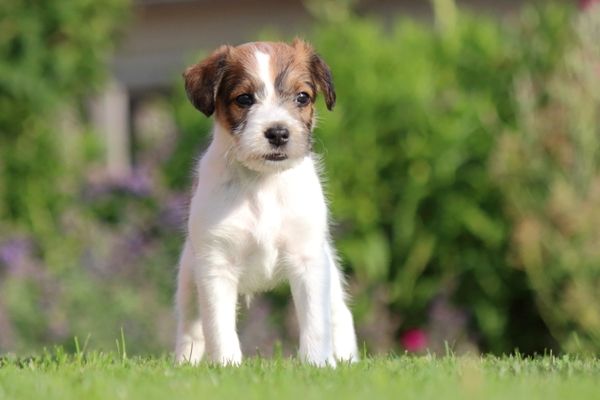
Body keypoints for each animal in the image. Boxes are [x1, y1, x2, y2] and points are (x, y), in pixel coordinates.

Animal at [174, 39, 359, 367]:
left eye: (302, 97)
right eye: (244, 99)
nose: (278, 132)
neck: (263, 184)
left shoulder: (308, 261)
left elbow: (315, 321)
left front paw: (318, 364)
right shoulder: (215, 266)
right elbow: (218, 327)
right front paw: (227, 366)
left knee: (339, 315)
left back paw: (346, 357)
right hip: (189, 279)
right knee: (191, 328)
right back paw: (186, 362)